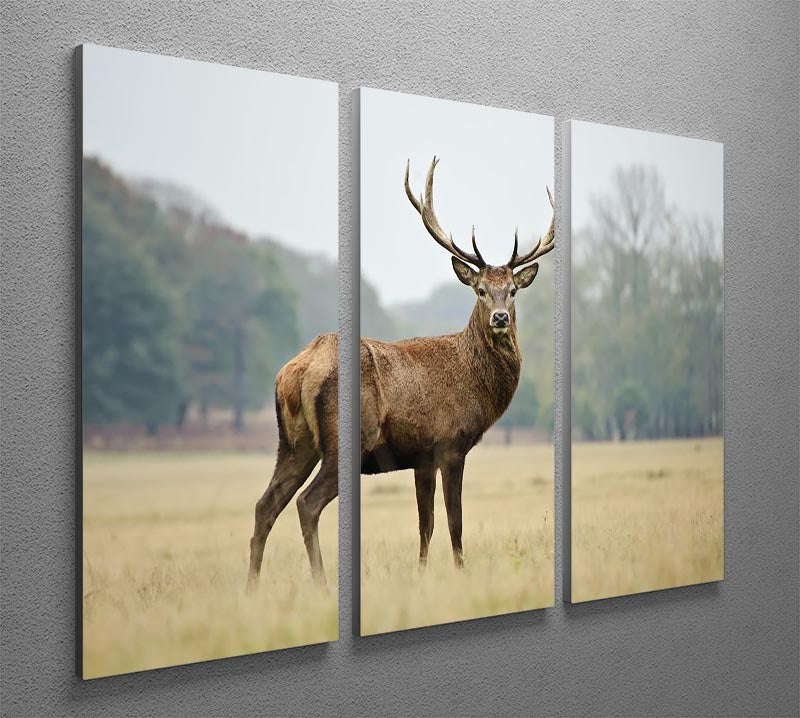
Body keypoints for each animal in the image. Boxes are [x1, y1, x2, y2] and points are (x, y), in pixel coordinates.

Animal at [247, 156, 554, 590]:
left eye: (512, 290)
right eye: (479, 290)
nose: (500, 318)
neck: (474, 384)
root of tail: (297, 370)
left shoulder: (421, 456)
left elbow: (425, 525)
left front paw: (422, 574)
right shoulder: (450, 443)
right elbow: (454, 522)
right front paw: (461, 572)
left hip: (293, 443)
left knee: (265, 505)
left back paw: (251, 589)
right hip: (344, 441)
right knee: (307, 504)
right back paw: (321, 584)